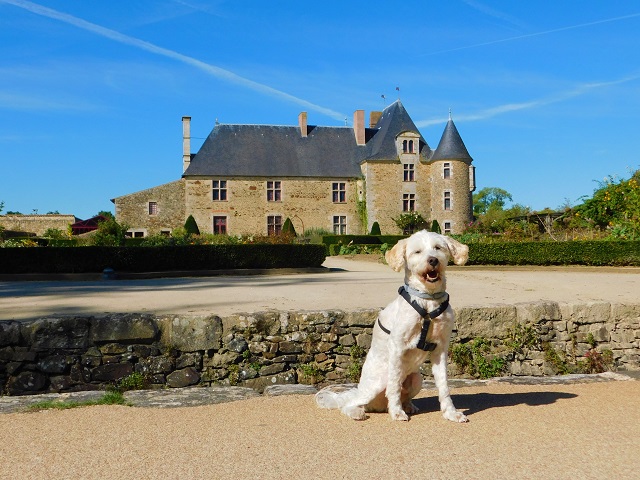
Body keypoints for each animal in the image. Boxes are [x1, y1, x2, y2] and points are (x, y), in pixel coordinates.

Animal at [316, 231, 470, 422]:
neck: (427, 302)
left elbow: (444, 386)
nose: (433, 260)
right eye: (417, 251)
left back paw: (408, 406)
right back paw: (358, 412)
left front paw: (451, 413)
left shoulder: (440, 349)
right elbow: (394, 385)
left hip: (417, 379)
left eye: (438, 248)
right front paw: (396, 412)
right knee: (351, 403)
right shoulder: (397, 347)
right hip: (377, 382)